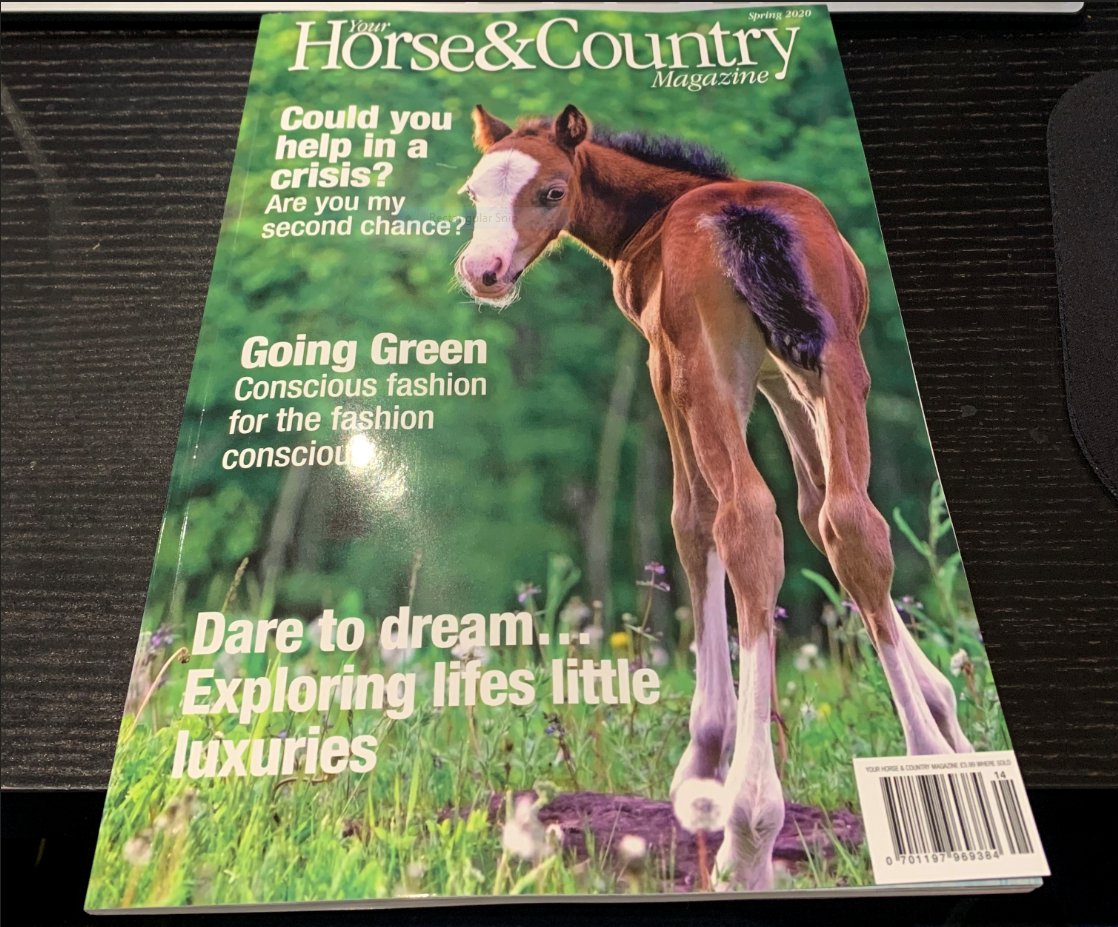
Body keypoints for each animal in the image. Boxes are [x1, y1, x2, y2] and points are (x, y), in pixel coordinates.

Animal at [455, 104, 974, 891]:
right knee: (854, 522)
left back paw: (748, 827)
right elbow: (822, 512)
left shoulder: (667, 367)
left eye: (550, 192)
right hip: (837, 362)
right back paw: (924, 758)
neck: (660, 208)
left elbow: (694, 521)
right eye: (474, 193)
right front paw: (948, 716)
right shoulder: (781, 375)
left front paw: (703, 763)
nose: (483, 272)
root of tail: (744, 217)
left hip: (709, 375)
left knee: (745, 522)